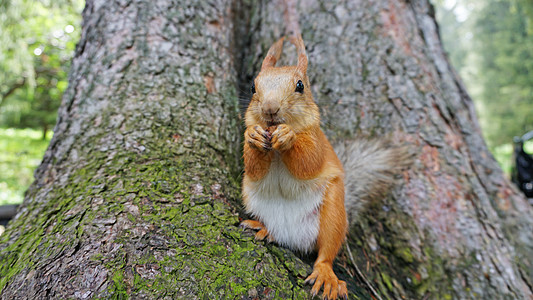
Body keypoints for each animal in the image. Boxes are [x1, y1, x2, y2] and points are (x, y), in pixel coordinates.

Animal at [241, 35, 350, 300]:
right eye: (253, 87)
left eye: (300, 85)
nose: (270, 109)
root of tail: (292, 235)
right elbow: (253, 169)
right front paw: (253, 136)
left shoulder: (318, 140)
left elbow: (308, 162)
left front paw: (288, 136)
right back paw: (264, 229)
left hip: (333, 214)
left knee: (326, 251)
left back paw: (327, 276)